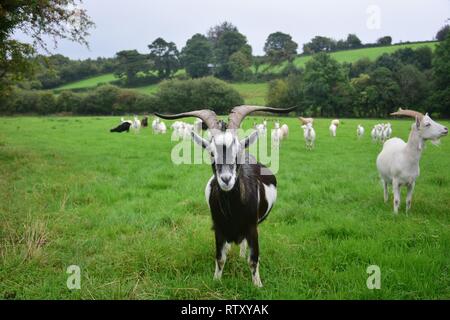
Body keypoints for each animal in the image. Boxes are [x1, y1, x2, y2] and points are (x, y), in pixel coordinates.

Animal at [155, 105, 296, 288]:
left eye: (237, 153)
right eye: (211, 153)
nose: (226, 179)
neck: (233, 211)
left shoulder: (252, 228)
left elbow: (253, 260)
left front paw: (258, 285)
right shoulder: (219, 228)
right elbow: (220, 258)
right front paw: (216, 280)